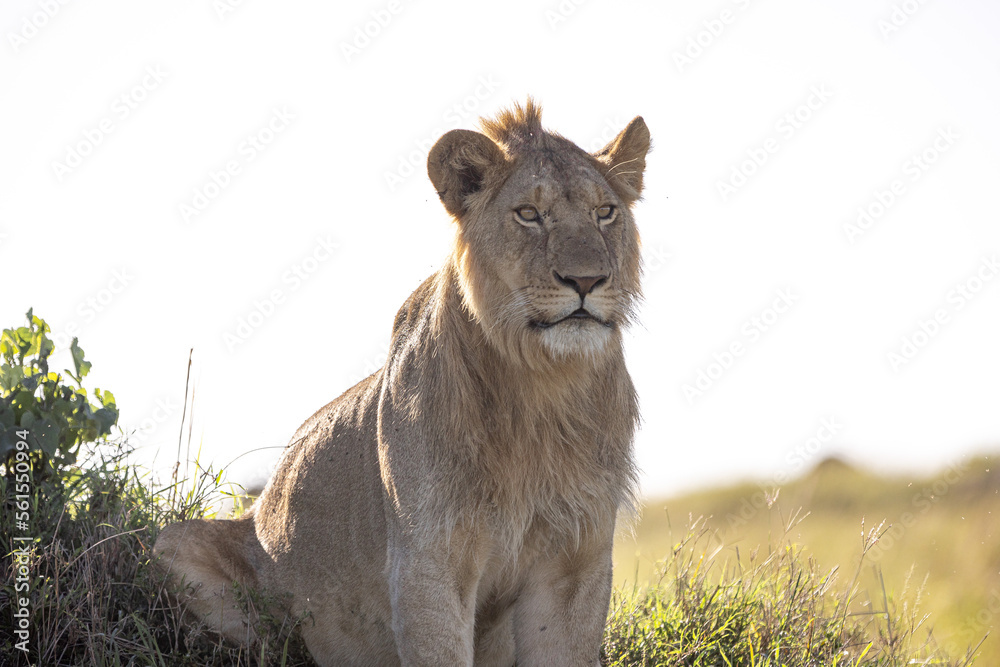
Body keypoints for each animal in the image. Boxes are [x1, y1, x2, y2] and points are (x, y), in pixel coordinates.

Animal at [153, 98, 650, 666]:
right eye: (528, 214)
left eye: (604, 212)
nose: (587, 280)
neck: (541, 386)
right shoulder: (427, 559)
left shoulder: (575, 561)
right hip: (174, 547)